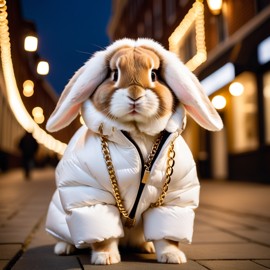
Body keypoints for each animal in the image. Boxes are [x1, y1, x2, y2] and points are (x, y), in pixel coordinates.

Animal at [45, 38, 223, 264]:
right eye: (114, 74)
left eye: (154, 74)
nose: (134, 95)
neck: (136, 133)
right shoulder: (93, 197)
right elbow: (103, 234)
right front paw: (106, 258)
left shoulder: (172, 201)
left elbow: (167, 236)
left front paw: (172, 256)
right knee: (66, 234)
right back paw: (64, 248)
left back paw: (146, 246)